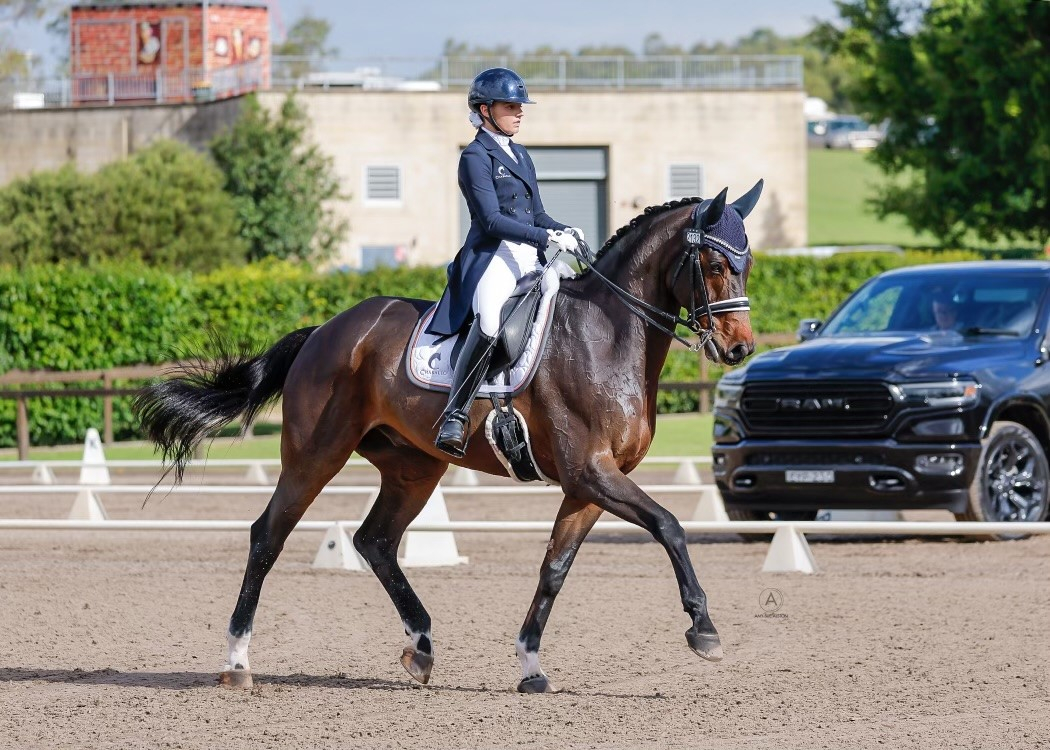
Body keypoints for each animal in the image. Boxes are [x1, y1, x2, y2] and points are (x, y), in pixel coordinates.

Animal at [137, 179, 764, 689]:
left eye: (748, 264)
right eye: (714, 266)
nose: (739, 350)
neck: (606, 337)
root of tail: (325, 330)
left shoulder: (587, 485)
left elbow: (555, 568)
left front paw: (530, 664)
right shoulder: (591, 471)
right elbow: (670, 525)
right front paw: (704, 629)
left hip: (414, 467)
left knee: (375, 541)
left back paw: (420, 647)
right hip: (315, 454)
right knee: (268, 535)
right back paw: (237, 661)